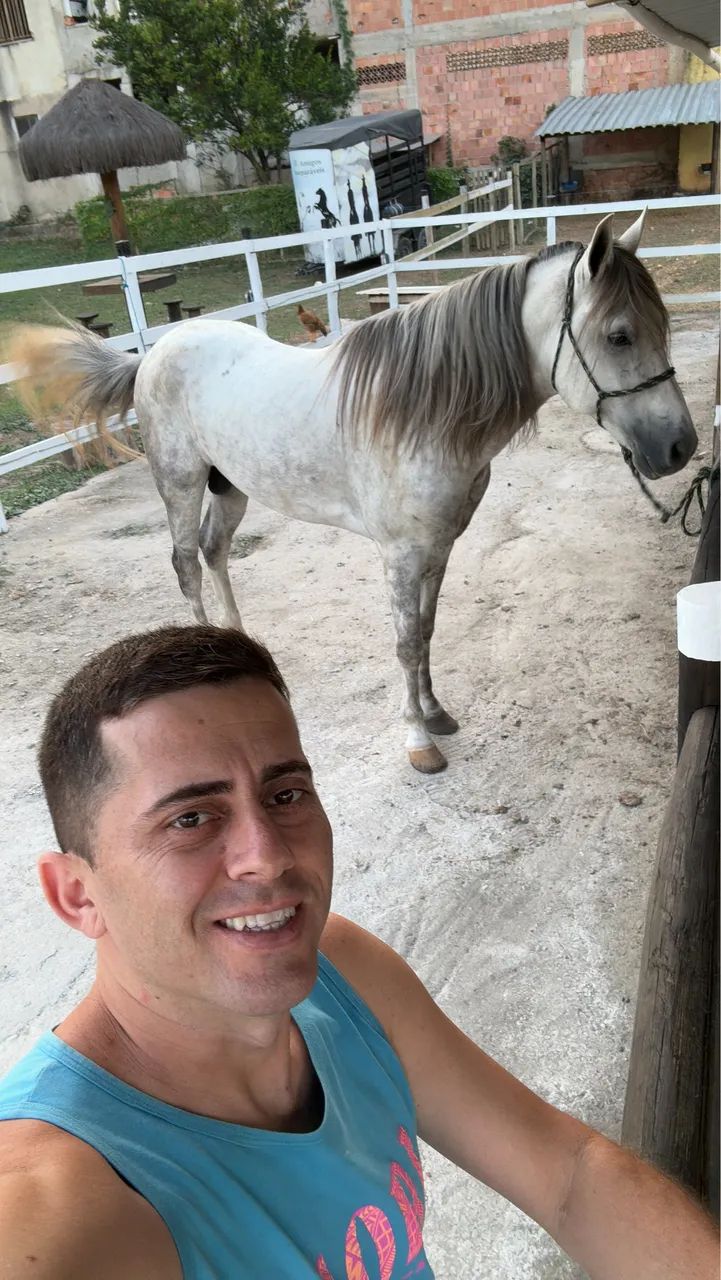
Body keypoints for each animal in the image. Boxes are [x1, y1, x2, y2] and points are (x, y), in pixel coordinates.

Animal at [10, 212, 697, 773]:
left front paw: (436, 712)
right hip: (179, 484)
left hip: (231, 488)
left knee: (214, 551)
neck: (427, 411)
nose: (680, 447)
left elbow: (426, 630)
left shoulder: (439, 546)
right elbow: (404, 641)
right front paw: (419, 741)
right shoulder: (399, 554)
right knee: (185, 564)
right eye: (618, 335)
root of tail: (153, 353)